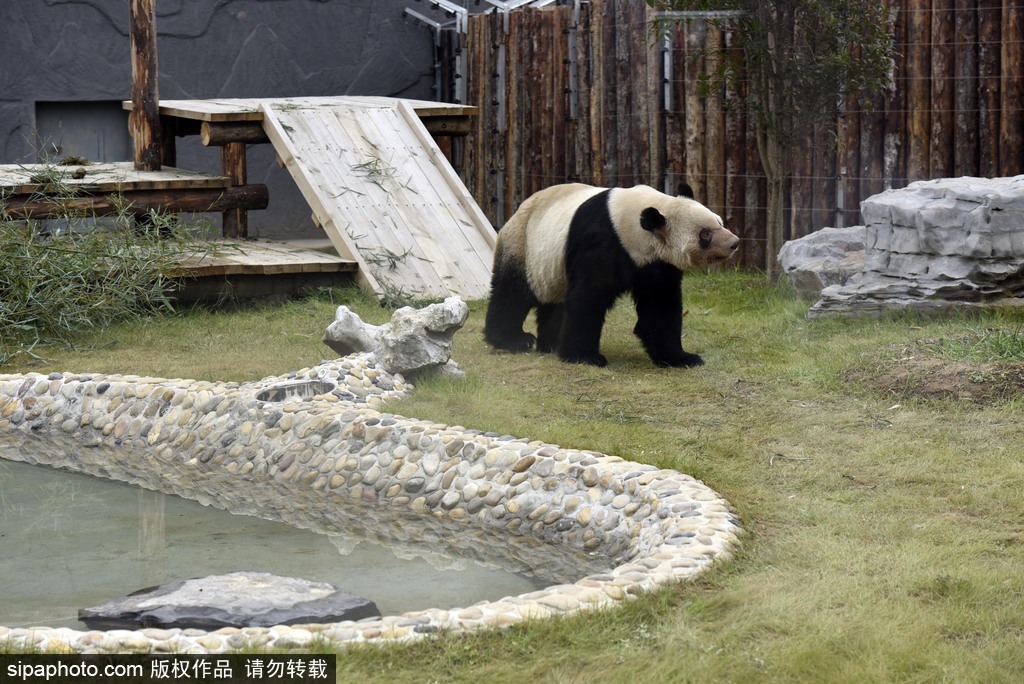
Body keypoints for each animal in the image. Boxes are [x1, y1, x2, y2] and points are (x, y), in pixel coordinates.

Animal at [483, 182, 739, 367]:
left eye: (719, 222)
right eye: (705, 234)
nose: (734, 243)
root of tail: (518, 209)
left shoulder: (657, 263)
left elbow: (660, 306)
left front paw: (680, 358)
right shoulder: (603, 241)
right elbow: (588, 297)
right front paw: (584, 357)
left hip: (553, 265)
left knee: (555, 303)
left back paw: (552, 343)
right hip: (523, 245)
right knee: (512, 294)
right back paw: (514, 339)